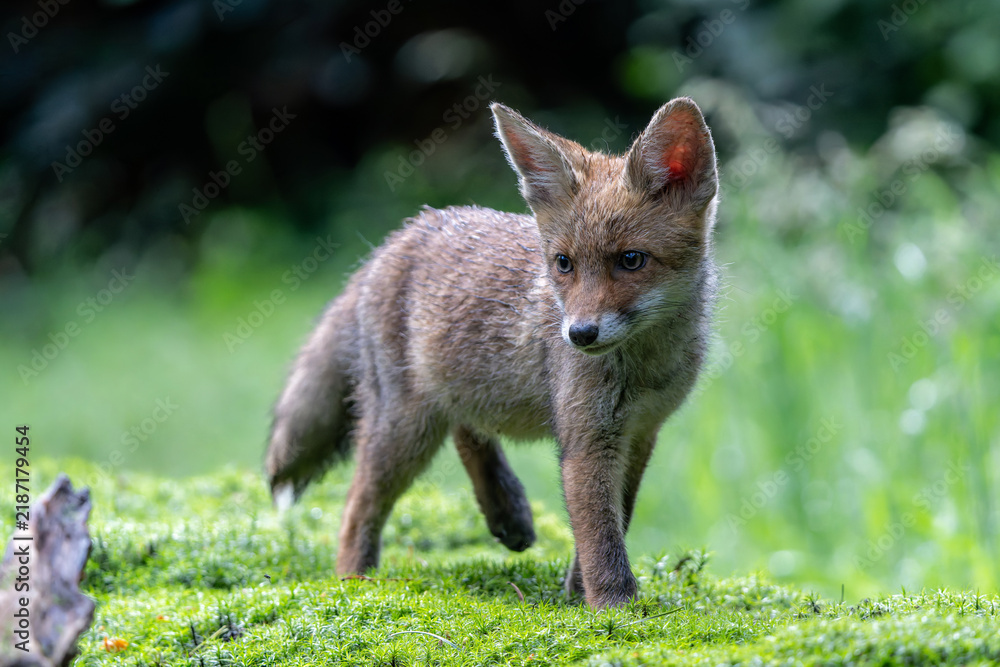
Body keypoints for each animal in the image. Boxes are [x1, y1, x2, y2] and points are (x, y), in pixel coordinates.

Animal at [265, 97, 719, 609]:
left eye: (631, 260)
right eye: (564, 264)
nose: (579, 335)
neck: (646, 366)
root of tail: (394, 239)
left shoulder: (640, 433)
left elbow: (614, 520)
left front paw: (577, 590)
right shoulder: (587, 437)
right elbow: (602, 539)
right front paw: (613, 609)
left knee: (467, 430)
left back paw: (506, 511)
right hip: (404, 428)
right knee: (358, 504)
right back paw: (354, 581)